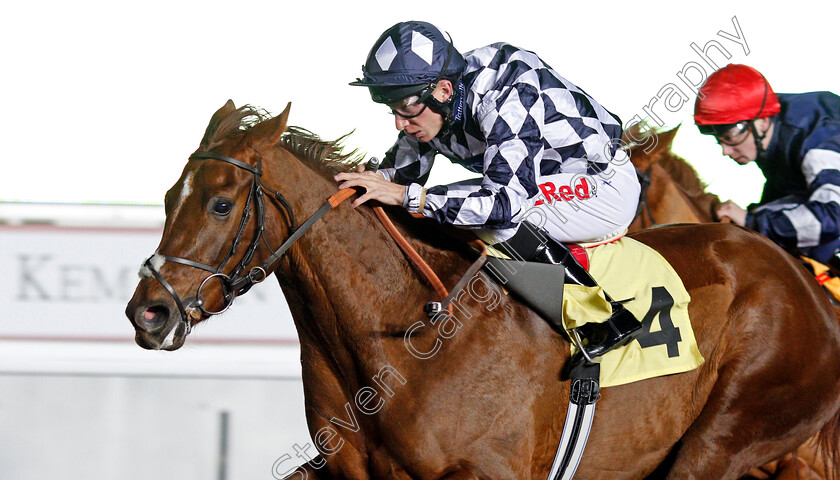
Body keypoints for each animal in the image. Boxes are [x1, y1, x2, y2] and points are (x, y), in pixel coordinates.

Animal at [126, 103, 840, 478]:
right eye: (166, 198)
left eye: (221, 204)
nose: (148, 312)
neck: (409, 330)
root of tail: (808, 292)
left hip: (729, 437)